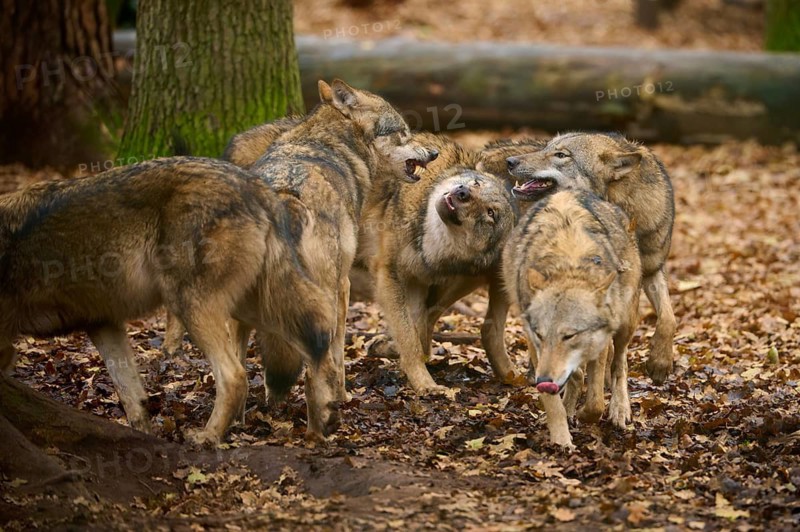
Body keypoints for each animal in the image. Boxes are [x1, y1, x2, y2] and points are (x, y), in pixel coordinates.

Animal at [0, 157, 338, 445]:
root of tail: (254, 185)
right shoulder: (103, 323)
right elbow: (133, 398)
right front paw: (143, 440)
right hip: (252, 307)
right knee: (320, 329)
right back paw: (319, 420)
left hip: (191, 306)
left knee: (235, 376)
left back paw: (208, 437)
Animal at [503, 190, 642, 447]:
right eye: (540, 335)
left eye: (569, 335)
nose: (543, 379)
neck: (567, 262)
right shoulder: (534, 345)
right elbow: (554, 402)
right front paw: (561, 439)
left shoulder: (599, 342)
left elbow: (596, 402)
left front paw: (586, 415)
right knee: (576, 375)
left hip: (626, 321)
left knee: (620, 363)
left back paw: (620, 409)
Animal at [505, 132, 676, 384]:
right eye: (547, 148)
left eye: (561, 155)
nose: (510, 162)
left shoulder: (651, 271)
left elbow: (668, 317)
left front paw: (660, 362)